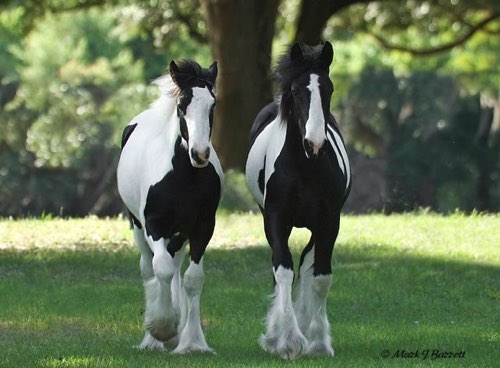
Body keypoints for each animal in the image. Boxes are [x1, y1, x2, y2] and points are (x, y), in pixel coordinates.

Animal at [117, 59, 223, 354]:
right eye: (182, 105)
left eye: (212, 104)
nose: (200, 154)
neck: (184, 177)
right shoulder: (155, 225)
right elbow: (160, 268)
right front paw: (163, 327)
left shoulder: (202, 228)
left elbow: (193, 278)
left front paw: (192, 342)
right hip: (139, 228)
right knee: (150, 269)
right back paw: (152, 339)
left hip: (178, 235)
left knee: (175, 269)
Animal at [246, 42, 352, 360]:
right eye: (295, 91)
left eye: (329, 89)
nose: (314, 144)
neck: (306, 167)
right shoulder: (276, 220)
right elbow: (282, 270)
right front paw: (287, 341)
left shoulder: (329, 222)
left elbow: (320, 276)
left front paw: (317, 342)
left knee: (307, 264)